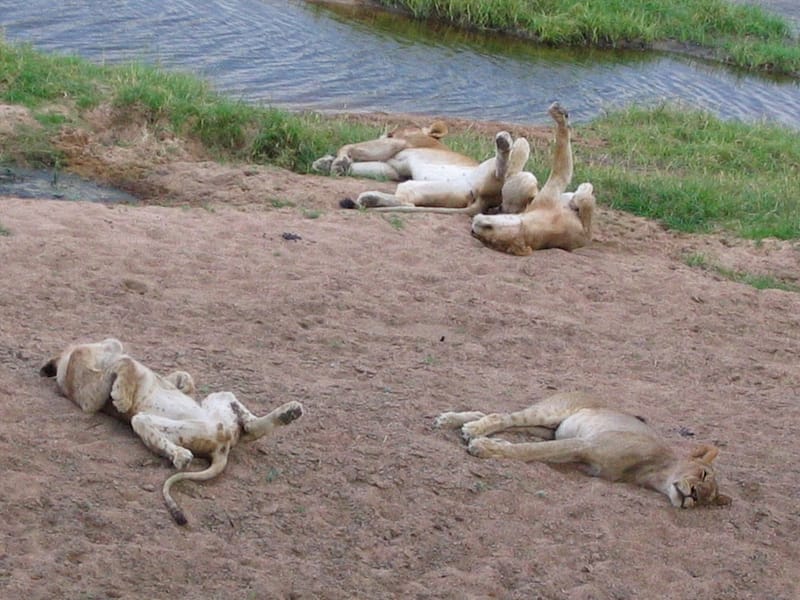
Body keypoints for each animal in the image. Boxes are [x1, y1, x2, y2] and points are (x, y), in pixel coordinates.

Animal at [40, 338, 304, 525]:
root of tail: (222, 448)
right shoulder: (88, 398)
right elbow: (123, 362)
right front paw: (121, 398)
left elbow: (174, 373)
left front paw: (183, 386)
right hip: (159, 422)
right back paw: (180, 456)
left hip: (220, 402)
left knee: (249, 428)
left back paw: (290, 412)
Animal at [435, 391, 731, 508]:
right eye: (703, 475)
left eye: (707, 499)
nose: (694, 496)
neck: (651, 472)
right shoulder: (586, 443)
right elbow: (531, 452)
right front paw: (483, 447)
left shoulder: (584, 458)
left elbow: (535, 450)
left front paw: (493, 446)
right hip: (547, 414)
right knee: (503, 416)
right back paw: (470, 429)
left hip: (547, 426)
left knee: (499, 417)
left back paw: (454, 421)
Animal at [470, 102, 596, 255]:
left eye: (488, 227)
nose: (474, 224)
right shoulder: (551, 192)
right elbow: (563, 153)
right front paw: (559, 115)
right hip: (526, 179)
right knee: (512, 167)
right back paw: (515, 143)